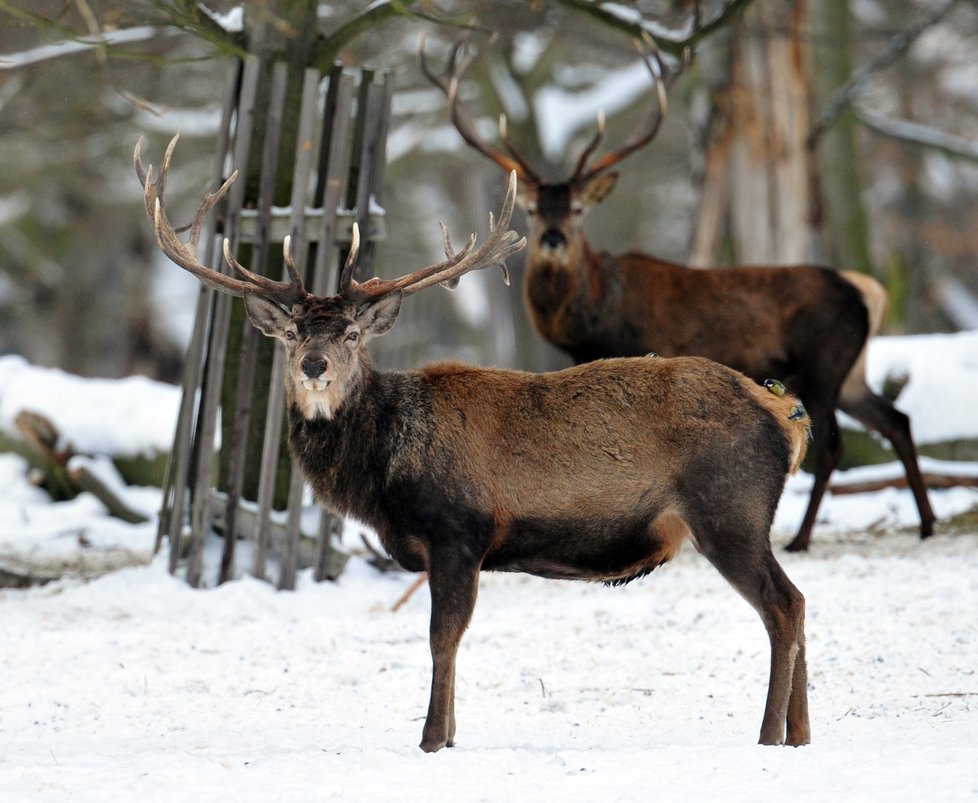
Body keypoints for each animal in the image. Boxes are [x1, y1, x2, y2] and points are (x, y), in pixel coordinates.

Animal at [137, 133, 808, 752]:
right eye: (293, 333)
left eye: (352, 332)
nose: (314, 366)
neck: (381, 471)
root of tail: (786, 413)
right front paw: (449, 735)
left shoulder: (458, 530)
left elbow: (443, 638)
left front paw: (433, 739)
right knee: (798, 603)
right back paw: (800, 733)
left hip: (728, 507)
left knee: (784, 605)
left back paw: (769, 733)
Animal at [424, 37, 936, 552]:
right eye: (530, 209)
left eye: (577, 209)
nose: (553, 238)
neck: (592, 321)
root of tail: (868, 291)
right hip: (852, 371)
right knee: (897, 419)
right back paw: (927, 523)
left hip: (823, 366)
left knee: (832, 443)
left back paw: (802, 538)